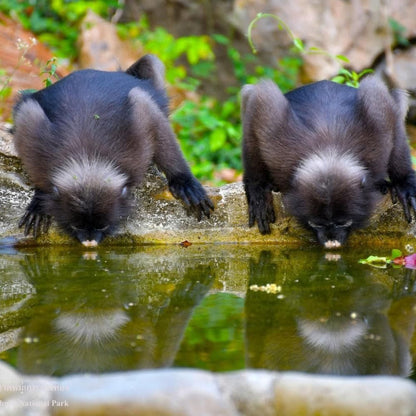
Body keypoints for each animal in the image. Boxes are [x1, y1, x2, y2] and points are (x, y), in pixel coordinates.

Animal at [13, 53, 214, 245]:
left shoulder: (142, 118)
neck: (89, 161)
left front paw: (183, 180)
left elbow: (148, 112)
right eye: (76, 226)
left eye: (102, 226)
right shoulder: (31, 122)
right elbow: (29, 120)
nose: (90, 241)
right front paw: (39, 200)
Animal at [240, 75, 416, 247]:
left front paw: (404, 183)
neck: (330, 153)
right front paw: (258, 190)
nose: (331, 242)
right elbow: (258, 103)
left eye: (342, 223)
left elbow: (394, 125)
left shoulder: (379, 117)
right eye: (317, 224)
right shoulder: (272, 127)